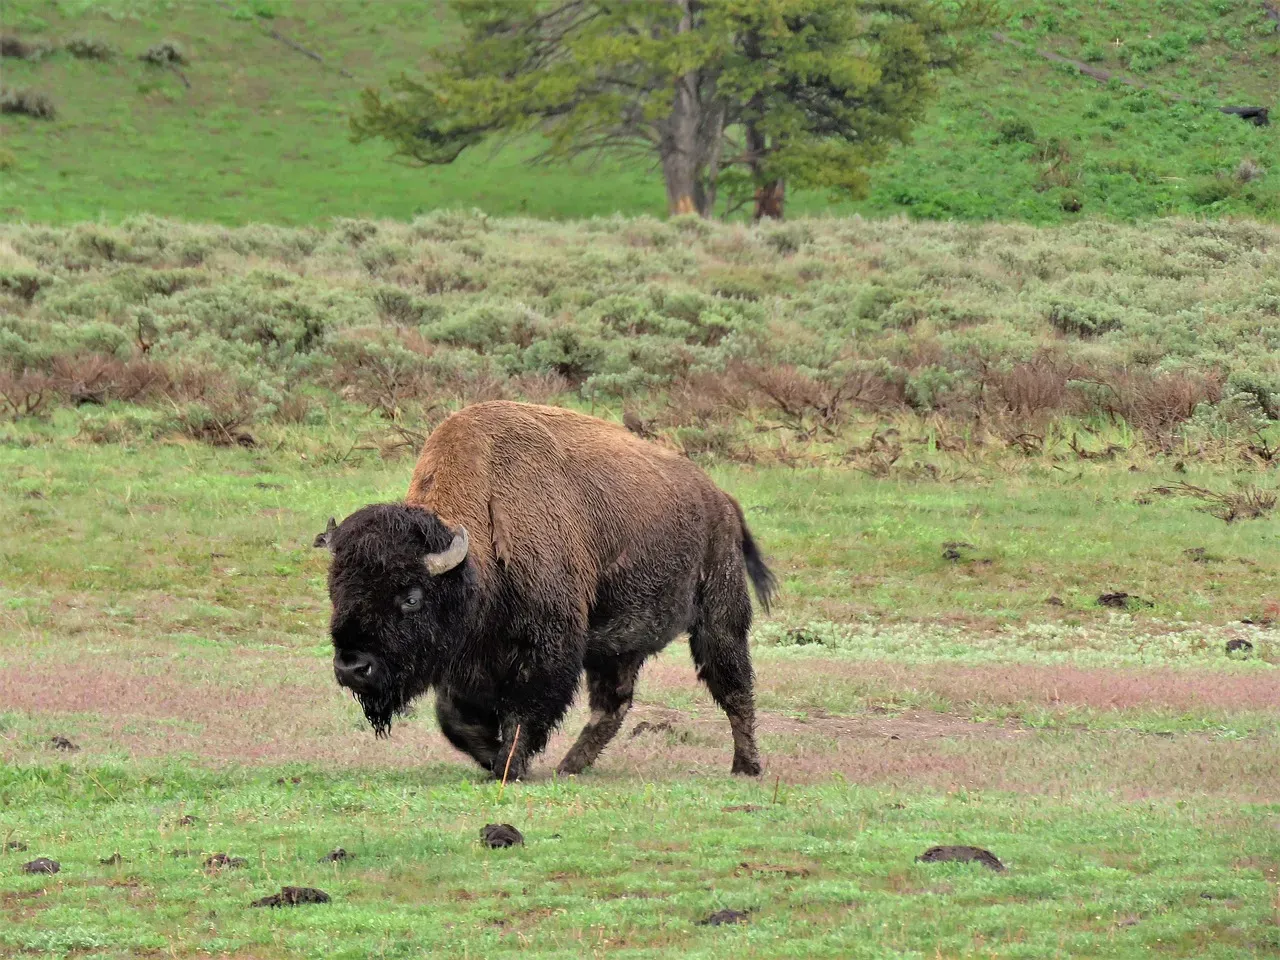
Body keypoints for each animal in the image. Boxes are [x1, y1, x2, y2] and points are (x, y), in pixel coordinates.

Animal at [314, 401, 775, 780]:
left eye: (411, 598)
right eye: (336, 591)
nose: (353, 667)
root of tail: (720, 499)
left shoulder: (546, 646)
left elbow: (524, 710)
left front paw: (508, 766)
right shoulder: (466, 659)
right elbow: (454, 717)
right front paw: (491, 757)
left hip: (719, 618)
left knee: (734, 687)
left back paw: (746, 766)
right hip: (617, 643)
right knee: (613, 704)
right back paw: (570, 766)